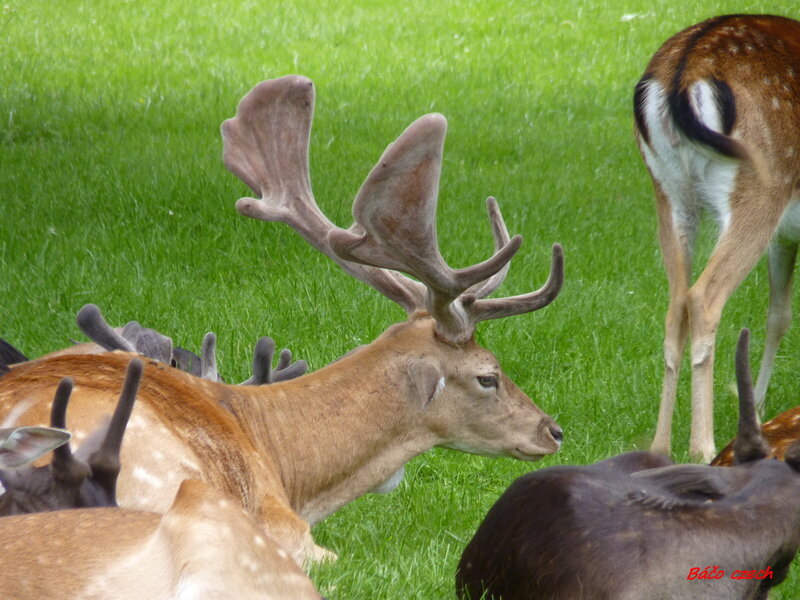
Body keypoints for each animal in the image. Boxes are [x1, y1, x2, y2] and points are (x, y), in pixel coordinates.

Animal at [633, 14, 800, 461]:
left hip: (668, 192)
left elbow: (779, 313)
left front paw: (758, 405)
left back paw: (659, 448)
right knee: (703, 298)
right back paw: (703, 447)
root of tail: (682, 75)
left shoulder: (786, 236)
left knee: (676, 303)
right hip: (761, 185)